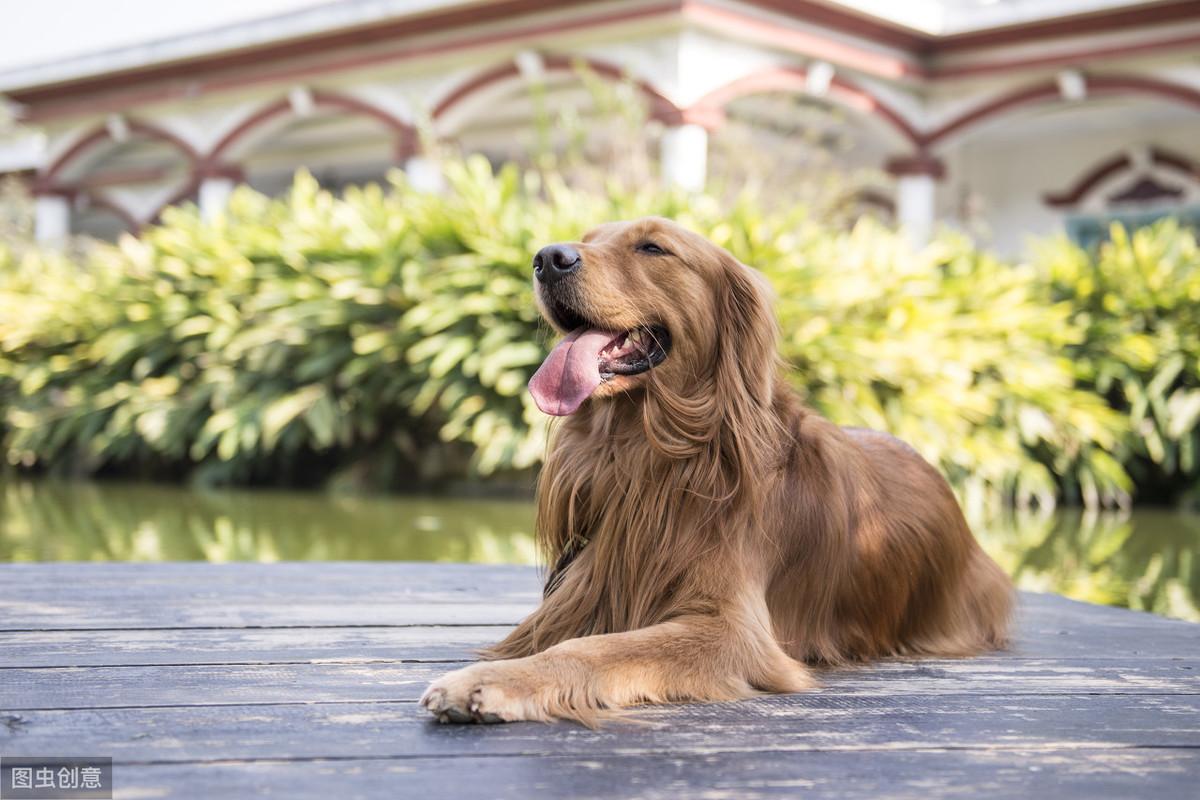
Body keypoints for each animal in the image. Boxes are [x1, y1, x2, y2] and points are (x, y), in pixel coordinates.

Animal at [422, 217, 1012, 724]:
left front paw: (486, 682)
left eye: (652, 247)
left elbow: (594, 649)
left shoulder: (731, 630)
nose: (547, 258)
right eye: (586, 240)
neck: (651, 455)